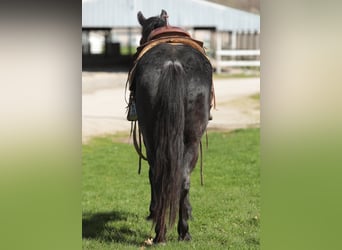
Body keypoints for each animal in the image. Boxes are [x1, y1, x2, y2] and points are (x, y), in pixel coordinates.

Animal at [130, 9, 212, 242]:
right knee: (180, 178)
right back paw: (179, 231)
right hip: (189, 139)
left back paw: (163, 231)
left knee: (164, 176)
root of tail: (172, 64)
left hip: (155, 137)